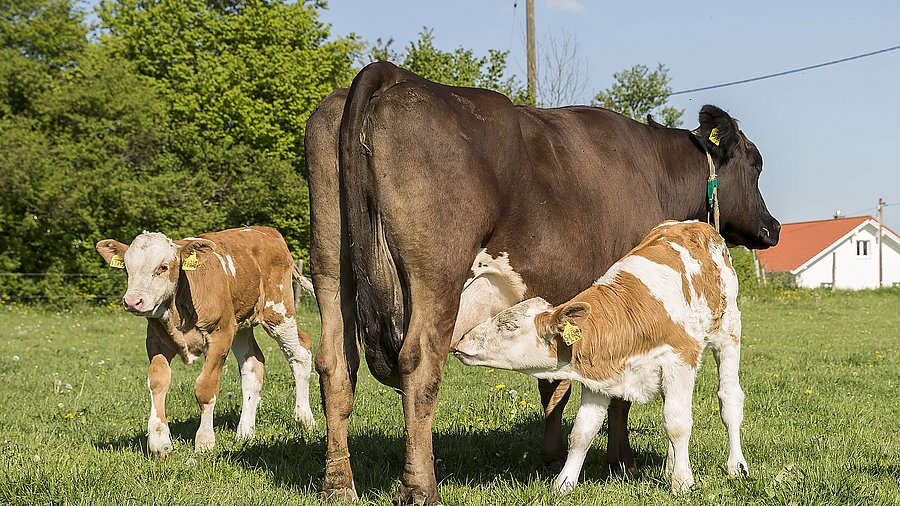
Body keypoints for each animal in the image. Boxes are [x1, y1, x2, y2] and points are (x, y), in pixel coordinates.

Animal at [97, 225, 316, 454]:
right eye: (127, 268)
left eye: (163, 267)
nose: (132, 301)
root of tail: (266, 230)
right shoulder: (155, 340)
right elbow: (158, 382)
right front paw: (159, 441)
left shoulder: (220, 336)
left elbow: (205, 388)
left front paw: (204, 441)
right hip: (239, 324)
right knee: (253, 365)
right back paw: (245, 432)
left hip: (278, 312)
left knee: (300, 352)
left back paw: (304, 419)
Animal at [458, 221, 744, 494]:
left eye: (508, 326)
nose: (462, 340)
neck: (629, 319)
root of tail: (699, 225)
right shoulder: (598, 377)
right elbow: (582, 432)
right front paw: (564, 484)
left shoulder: (680, 360)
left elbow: (677, 423)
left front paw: (682, 482)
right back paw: (669, 466)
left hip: (729, 331)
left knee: (729, 399)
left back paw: (736, 466)